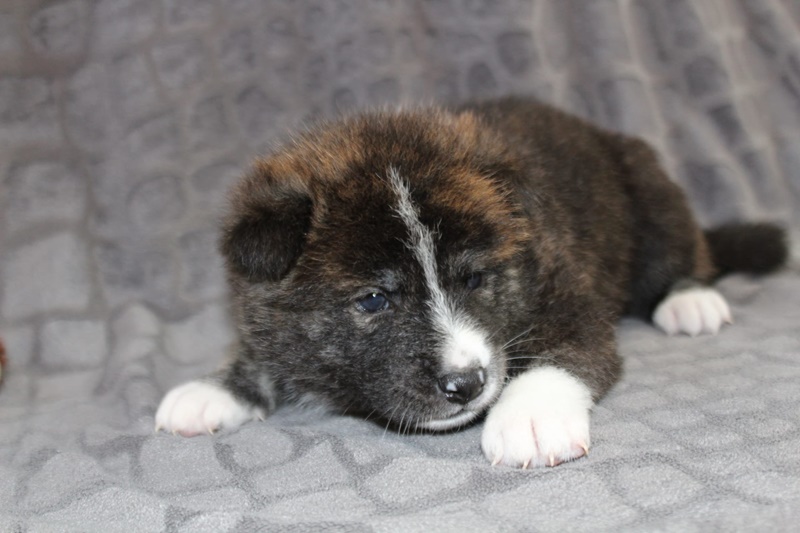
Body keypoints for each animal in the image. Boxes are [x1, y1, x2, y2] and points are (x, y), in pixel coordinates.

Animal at [155, 97, 787, 468]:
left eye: (477, 277)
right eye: (374, 299)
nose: (466, 384)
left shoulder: (567, 294)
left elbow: (562, 355)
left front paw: (530, 416)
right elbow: (265, 349)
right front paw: (217, 388)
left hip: (648, 186)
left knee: (678, 248)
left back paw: (690, 298)